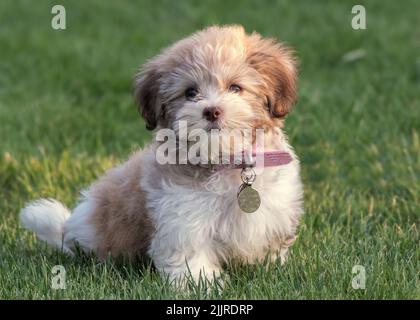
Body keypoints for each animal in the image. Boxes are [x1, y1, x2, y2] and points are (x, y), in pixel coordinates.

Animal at [20, 25, 302, 282]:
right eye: (190, 92)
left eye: (235, 88)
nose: (212, 111)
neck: (226, 163)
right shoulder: (182, 219)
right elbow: (192, 258)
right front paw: (202, 286)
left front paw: (272, 270)